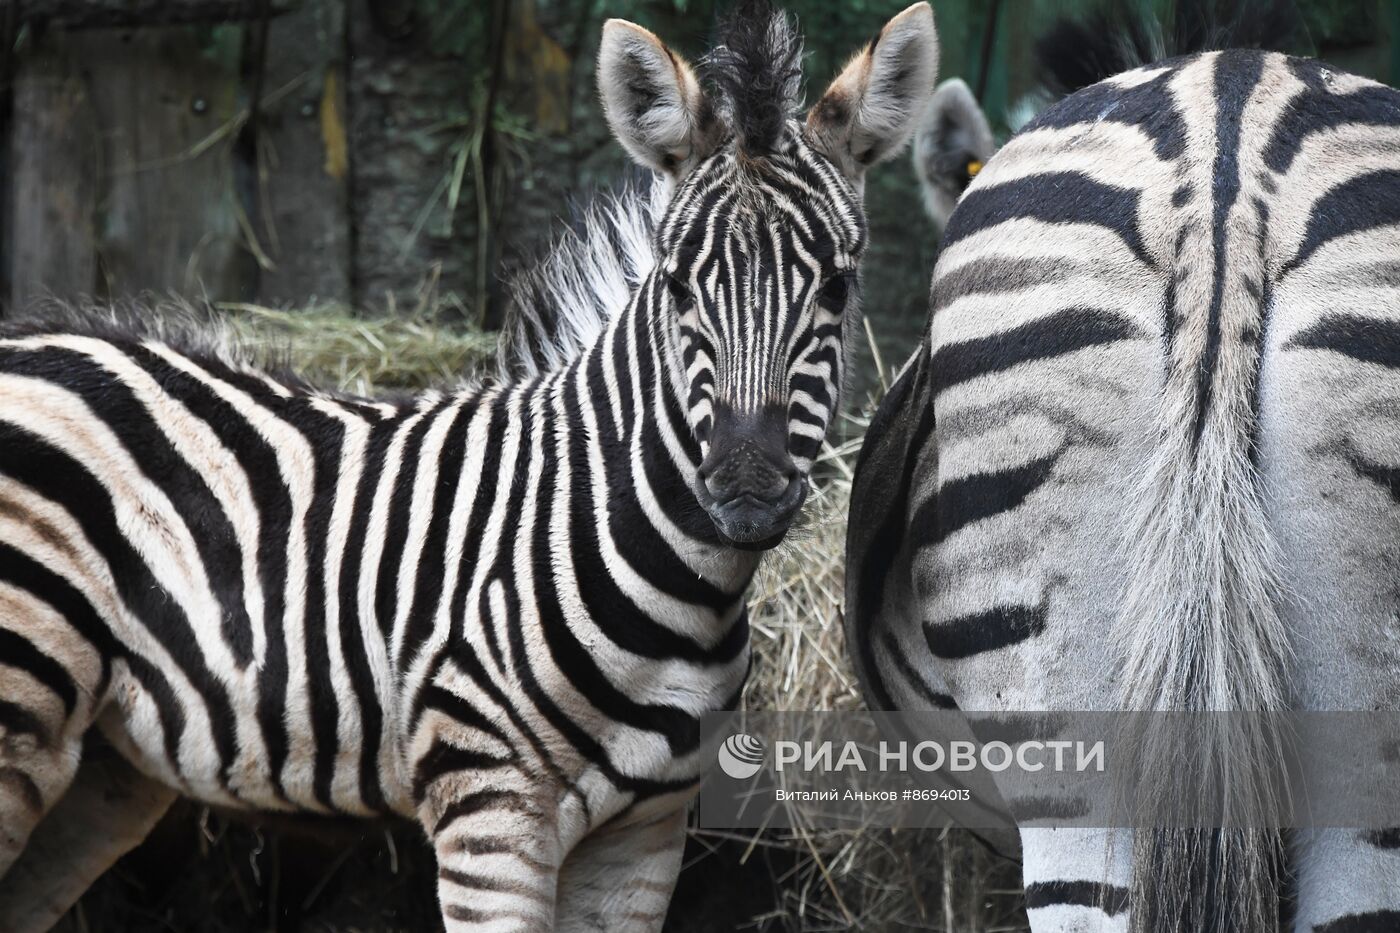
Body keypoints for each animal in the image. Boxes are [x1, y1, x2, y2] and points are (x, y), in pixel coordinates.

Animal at [0, 3, 940, 924]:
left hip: (104, 762)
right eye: (676, 286)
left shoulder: (645, 837)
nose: (745, 491)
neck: (681, 594)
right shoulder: (490, 810)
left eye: (837, 289)